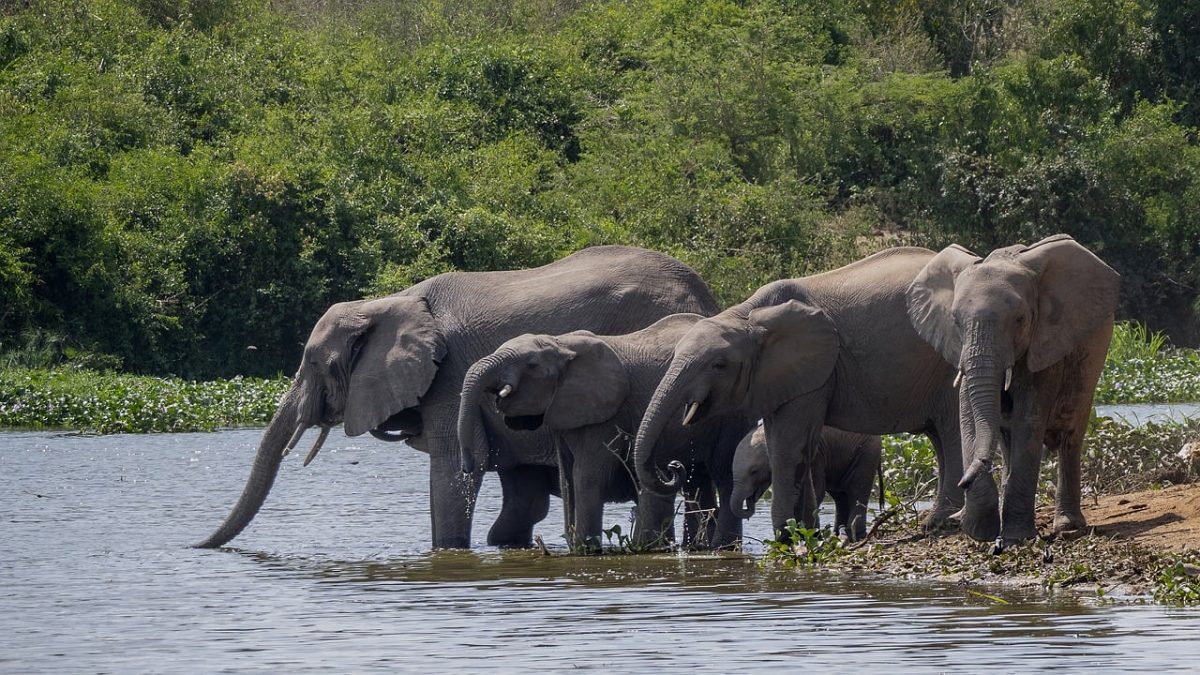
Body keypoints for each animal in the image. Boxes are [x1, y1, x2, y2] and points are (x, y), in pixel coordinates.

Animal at [196, 246, 719, 550]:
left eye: (314, 365)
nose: (196, 546)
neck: (389, 301)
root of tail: (707, 295)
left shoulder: (448, 381)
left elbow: (452, 475)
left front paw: (447, 550)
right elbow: (520, 497)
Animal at [457, 314, 755, 552]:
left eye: (531, 363)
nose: (468, 465)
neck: (561, 343)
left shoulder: (606, 411)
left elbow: (586, 475)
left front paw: (585, 550)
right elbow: (567, 478)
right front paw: (576, 546)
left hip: (733, 412)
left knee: (722, 471)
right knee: (699, 480)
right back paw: (697, 546)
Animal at [730, 425, 882, 541]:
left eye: (754, 471)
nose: (750, 500)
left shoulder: (815, 453)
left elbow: (817, 489)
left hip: (867, 453)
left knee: (857, 491)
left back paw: (854, 535)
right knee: (840, 496)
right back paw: (839, 533)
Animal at [906, 234, 1118, 548]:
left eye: (1020, 319)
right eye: (955, 320)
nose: (963, 481)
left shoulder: (1044, 343)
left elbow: (1028, 420)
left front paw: (1016, 538)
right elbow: (968, 418)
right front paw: (980, 531)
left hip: (1093, 355)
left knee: (1070, 434)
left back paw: (1068, 527)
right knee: (1008, 440)